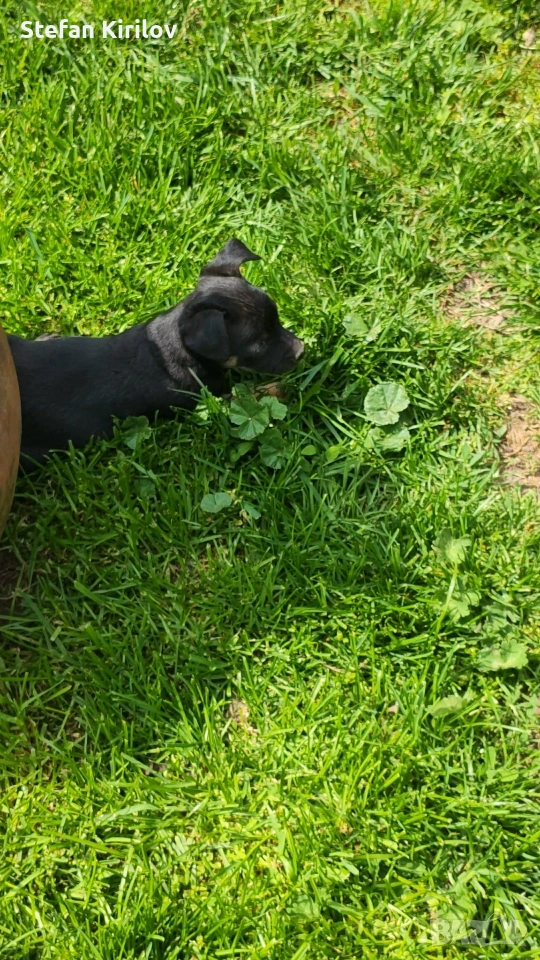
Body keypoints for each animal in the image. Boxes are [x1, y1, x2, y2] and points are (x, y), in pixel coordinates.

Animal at [8, 239, 304, 466]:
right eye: (259, 343)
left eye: (277, 319)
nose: (302, 351)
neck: (180, 347)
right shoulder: (210, 397)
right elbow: (255, 396)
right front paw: (283, 390)